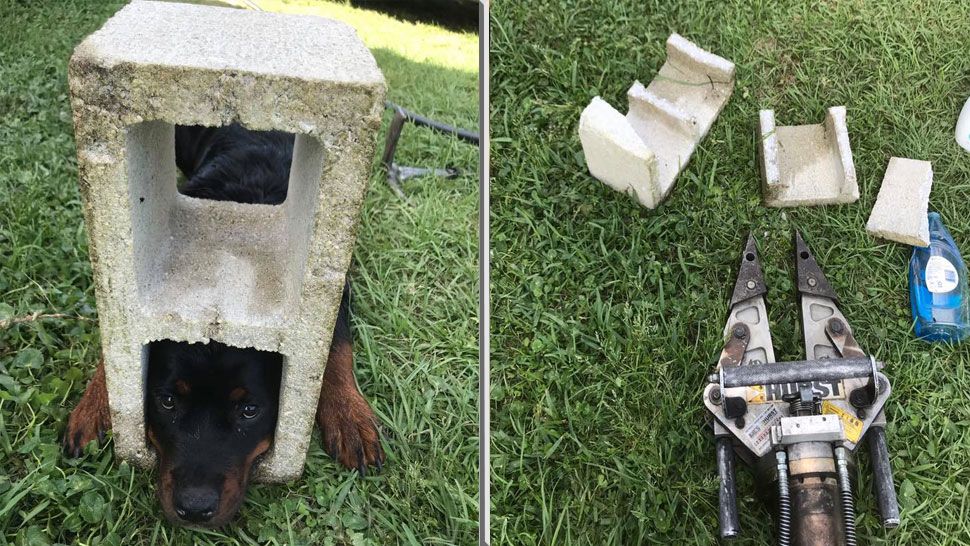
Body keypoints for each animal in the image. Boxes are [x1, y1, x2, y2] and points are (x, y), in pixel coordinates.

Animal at [59, 124, 386, 528]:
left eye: (249, 410)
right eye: (167, 402)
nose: (195, 508)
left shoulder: (331, 289)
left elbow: (337, 346)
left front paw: (349, 414)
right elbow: (115, 346)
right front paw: (94, 404)